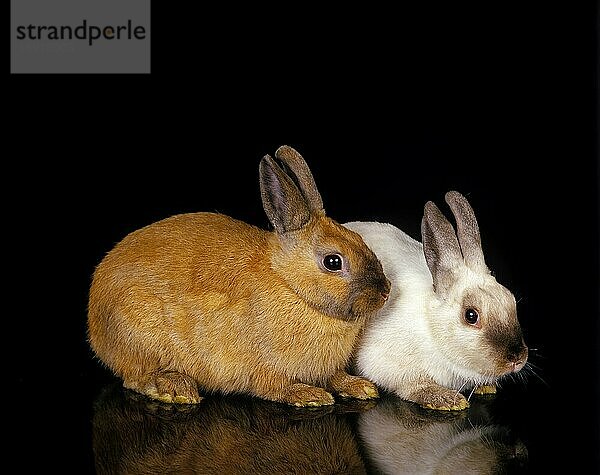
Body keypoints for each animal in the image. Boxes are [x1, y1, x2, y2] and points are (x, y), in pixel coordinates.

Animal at [86, 145, 392, 406]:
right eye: (333, 261)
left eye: (359, 239)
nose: (386, 290)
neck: (291, 287)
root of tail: (95, 319)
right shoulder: (263, 367)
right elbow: (276, 386)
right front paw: (308, 395)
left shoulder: (328, 368)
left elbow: (336, 377)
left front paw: (361, 387)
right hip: (138, 335)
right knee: (135, 377)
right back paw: (175, 389)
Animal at [344, 192, 528, 410]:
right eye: (471, 316)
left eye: (512, 300)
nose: (517, 358)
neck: (431, 326)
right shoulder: (387, 363)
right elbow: (414, 385)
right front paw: (446, 399)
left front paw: (486, 387)